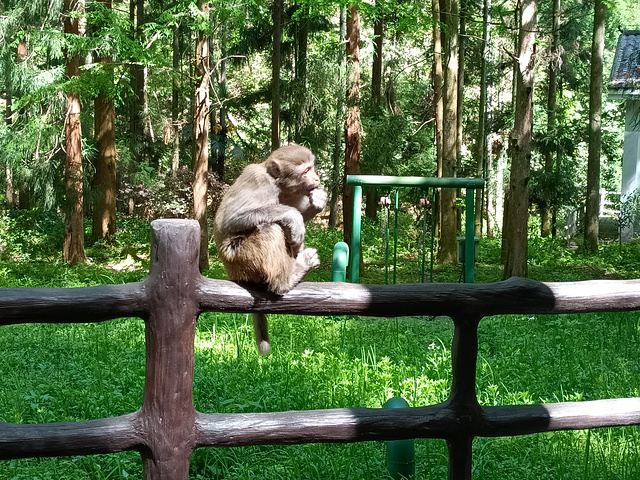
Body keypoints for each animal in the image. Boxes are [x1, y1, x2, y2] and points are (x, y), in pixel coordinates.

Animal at [214, 144, 328, 354]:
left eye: (312, 168)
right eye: (306, 171)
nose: (317, 179)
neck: (278, 184)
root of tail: (231, 273)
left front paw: (318, 200)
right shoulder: (260, 183)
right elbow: (233, 218)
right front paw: (293, 216)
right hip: (241, 259)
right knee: (271, 228)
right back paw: (289, 279)